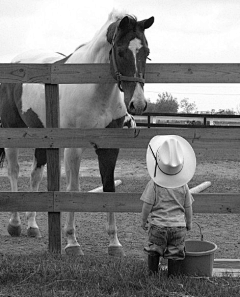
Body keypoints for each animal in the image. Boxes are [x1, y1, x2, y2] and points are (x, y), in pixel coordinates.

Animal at [0, 10, 154, 256]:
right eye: (121, 51)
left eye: (146, 52)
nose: (137, 104)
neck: (95, 91)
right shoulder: (73, 148)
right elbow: (72, 188)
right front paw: (72, 242)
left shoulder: (109, 148)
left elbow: (109, 188)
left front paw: (114, 243)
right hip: (11, 131)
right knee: (13, 172)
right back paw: (15, 224)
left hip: (41, 138)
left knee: (35, 175)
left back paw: (32, 226)